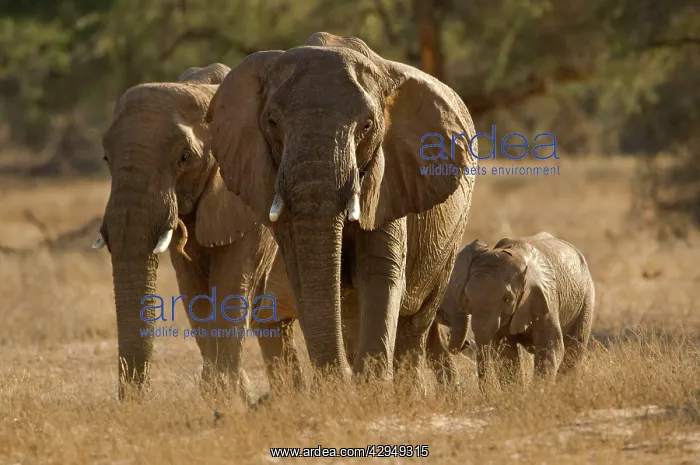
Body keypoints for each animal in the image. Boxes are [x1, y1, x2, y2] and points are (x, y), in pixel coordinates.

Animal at [94, 63, 304, 401]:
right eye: (106, 158)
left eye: (184, 157)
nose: (136, 403)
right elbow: (195, 293)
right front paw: (224, 394)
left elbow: (231, 285)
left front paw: (226, 396)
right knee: (273, 324)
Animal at [205, 32, 478, 387]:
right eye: (272, 122)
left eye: (367, 126)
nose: (341, 378)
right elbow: (301, 271)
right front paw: (342, 383)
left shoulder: (389, 177)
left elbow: (380, 270)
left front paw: (369, 384)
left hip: (451, 236)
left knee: (415, 323)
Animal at [443, 232, 596, 389]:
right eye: (467, 298)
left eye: (506, 299)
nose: (467, 343)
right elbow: (506, 353)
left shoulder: (546, 297)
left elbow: (550, 347)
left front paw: (539, 391)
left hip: (586, 297)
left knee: (575, 346)